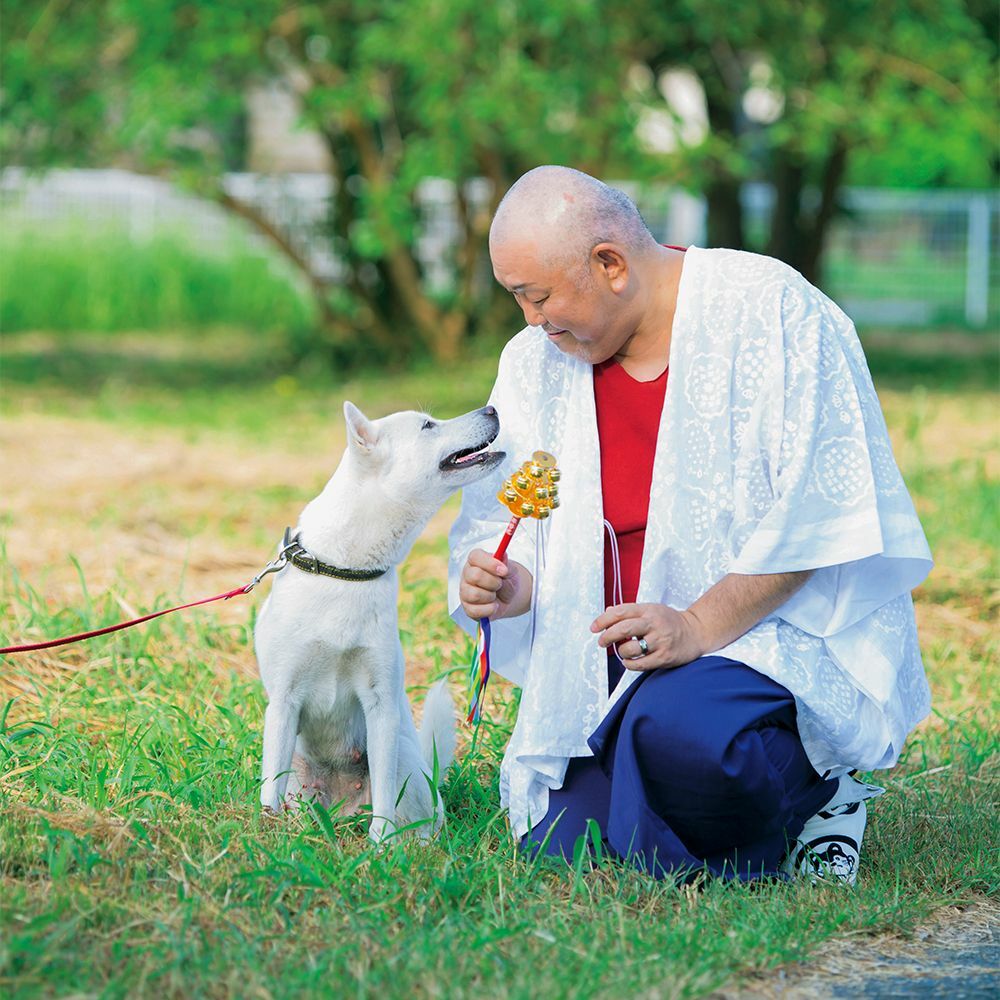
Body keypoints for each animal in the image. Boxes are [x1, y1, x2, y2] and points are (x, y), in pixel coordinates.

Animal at [254, 398, 504, 844]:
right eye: (428, 425)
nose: (492, 408)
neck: (345, 571)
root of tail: (342, 812)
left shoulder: (381, 704)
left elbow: (385, 800)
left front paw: (380, 847)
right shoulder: (284, 701)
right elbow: (271, 789)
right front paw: (268, 832)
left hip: (406, 763)